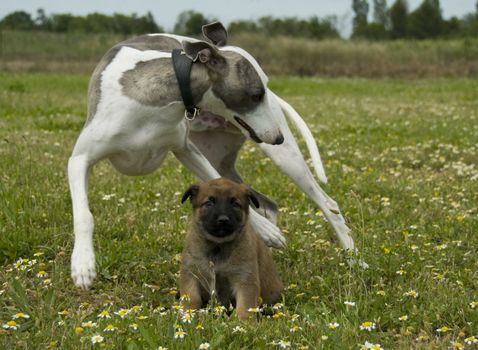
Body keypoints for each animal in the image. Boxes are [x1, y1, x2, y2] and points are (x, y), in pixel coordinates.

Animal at [69, 21, 364, 290]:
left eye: (264, 91)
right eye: (256, 94)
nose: (278, 136)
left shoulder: (188, 150)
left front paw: (268, 233)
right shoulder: (80, 159)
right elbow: (84, 215)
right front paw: (83, 265)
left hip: (282, 157)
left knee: (328, 204)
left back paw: (354, 260)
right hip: (220, 158)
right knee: (269, 204)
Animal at [179, 178, 284, 320]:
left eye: (235, 204)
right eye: (209, 203)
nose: (223, 220)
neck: (218, 246)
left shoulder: (244, 278)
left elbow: (245, 306)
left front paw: (245, 323)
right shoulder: (191, 273)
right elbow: (192, 298)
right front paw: (187, 314)